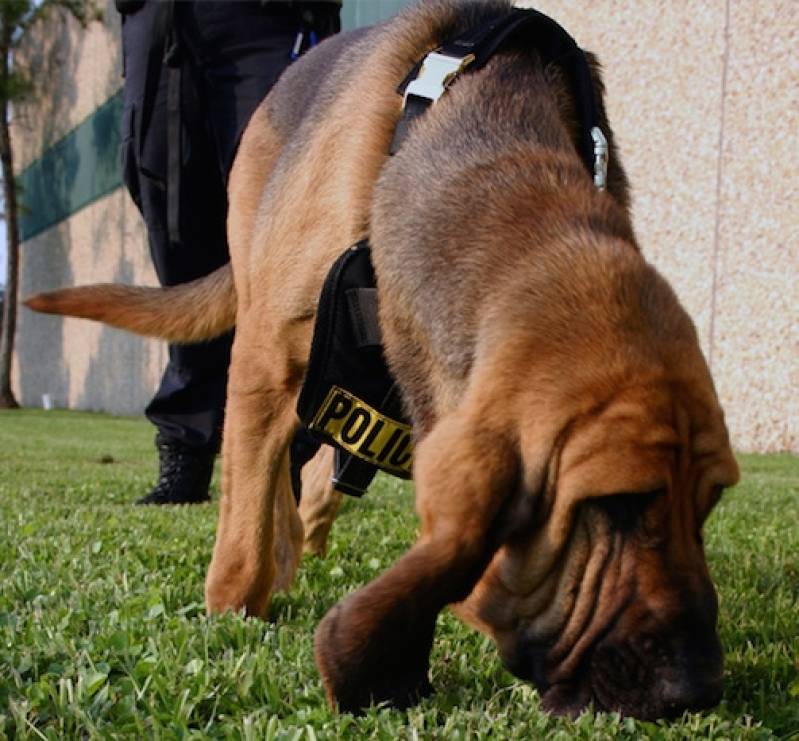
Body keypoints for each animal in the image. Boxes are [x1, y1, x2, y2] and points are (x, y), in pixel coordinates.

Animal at [26, 0, 736, 716]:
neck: (503, 164)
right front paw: (236, 608)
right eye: (617, 504)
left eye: (711, 502)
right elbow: (244, 536)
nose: (698, 688)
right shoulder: (263, 362)